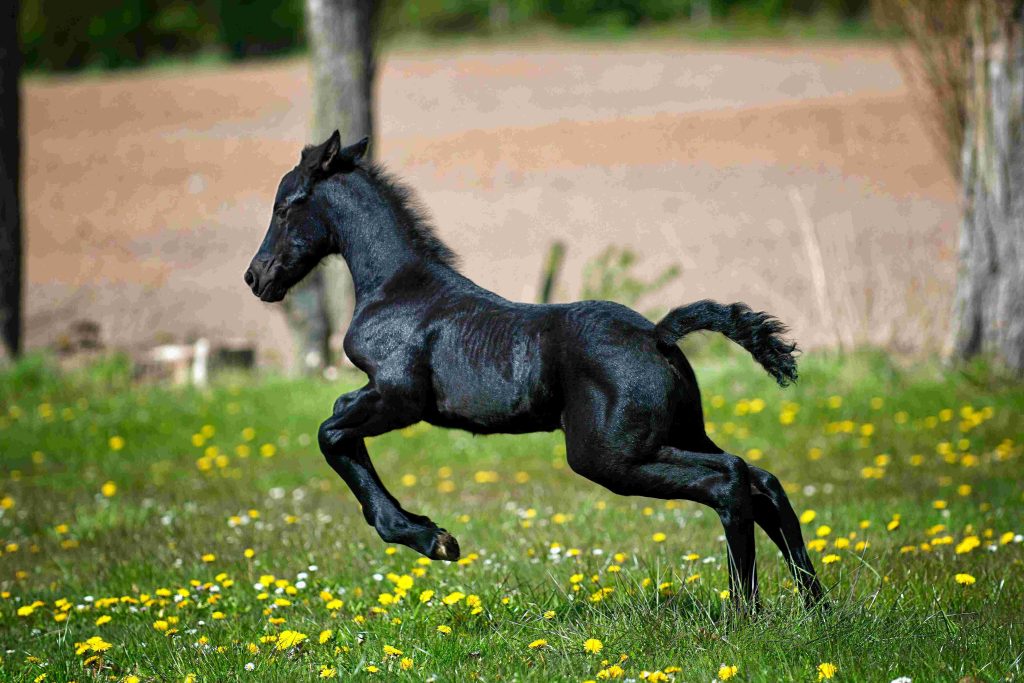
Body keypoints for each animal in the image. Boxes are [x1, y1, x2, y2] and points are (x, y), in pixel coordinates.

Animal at [245, 131, 824, 608]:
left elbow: (331, 431)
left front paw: (431, 538)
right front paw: (428, 532)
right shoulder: (382, 396)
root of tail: (657, 334)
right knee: (762, 480)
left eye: (283, 207)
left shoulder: (398, 397)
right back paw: (814, 605)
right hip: (675, 433)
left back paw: (745, 610)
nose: (256, 277)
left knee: (730, 480)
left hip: (611, 456)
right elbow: (339, 426)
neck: (397, 288)